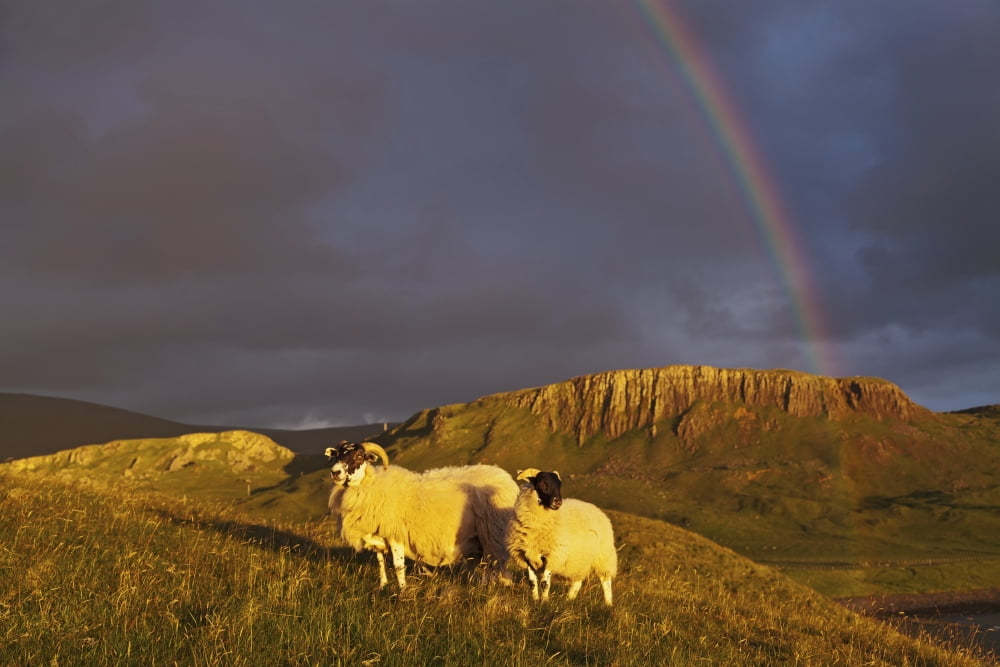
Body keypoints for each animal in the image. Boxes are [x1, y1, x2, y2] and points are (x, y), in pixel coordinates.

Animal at [324, 440, 517, 591]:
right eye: (337, 455)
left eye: (359, 456)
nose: (335, 472)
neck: (369, 485)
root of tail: (505, 477)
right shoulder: (378, 536)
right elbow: (380, 562)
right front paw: (382, 586)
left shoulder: (396, 534)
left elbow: (398, 565)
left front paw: (402, 591)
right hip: (477, 537)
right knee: (483, 562)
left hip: (492, 531)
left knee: (492, 562)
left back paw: (488, 586)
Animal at [505, 468, 617, 606]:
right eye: (543, 483)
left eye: (559, 485)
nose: (558, 502)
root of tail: (597, 509)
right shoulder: (526, 555)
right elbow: (532, 582)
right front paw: (535, 600)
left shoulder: (553, 555)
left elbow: (545, 583)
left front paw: (544, 602)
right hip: (581, 559)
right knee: (577, 582)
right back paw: (569, 599)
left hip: (603, 556)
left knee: (605, 581)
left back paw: (608, 604)